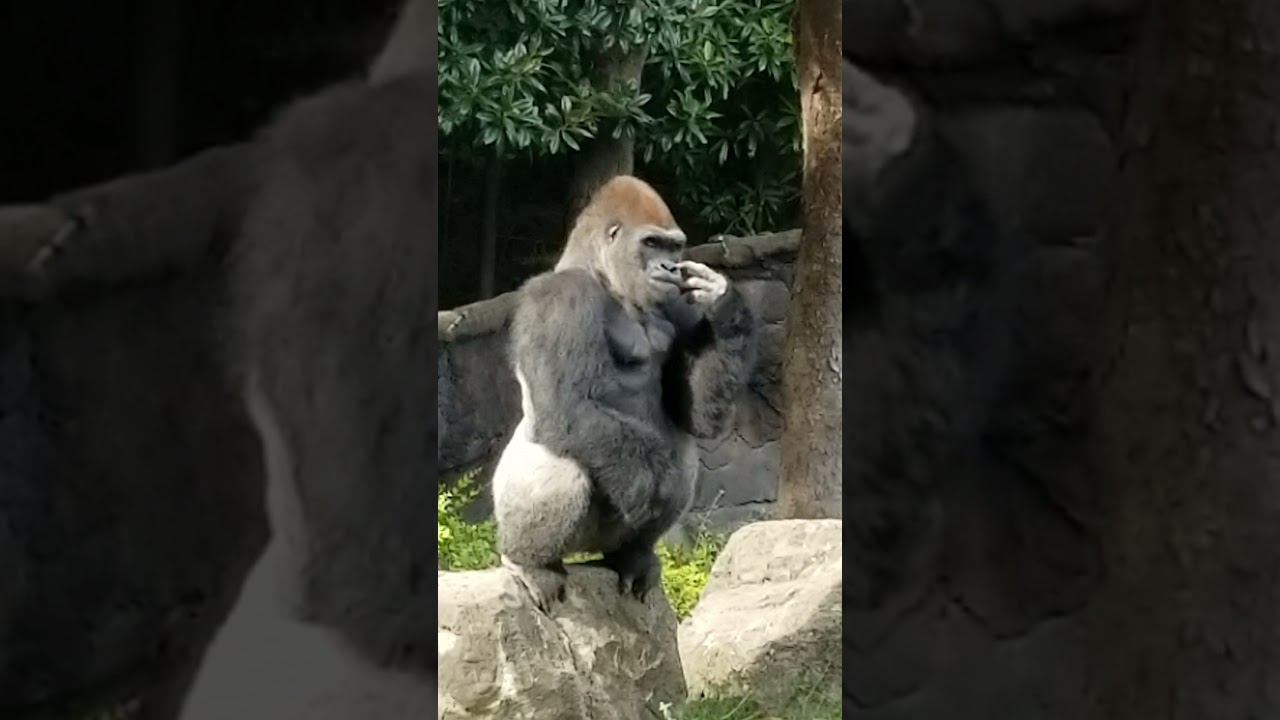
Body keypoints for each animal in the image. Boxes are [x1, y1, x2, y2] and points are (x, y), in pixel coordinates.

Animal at [491, 175, 759, 613]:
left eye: (673, 247)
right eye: (651, 243)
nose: (669, 267)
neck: (605, 277)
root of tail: (585, 554)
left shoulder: (676, 303)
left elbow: (695, 416)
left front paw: (723, 303)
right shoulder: (561, 296)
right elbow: (569, 407)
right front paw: (653, 489)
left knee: (681, 450)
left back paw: (632, 555)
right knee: (562, 460)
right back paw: (531, 561)